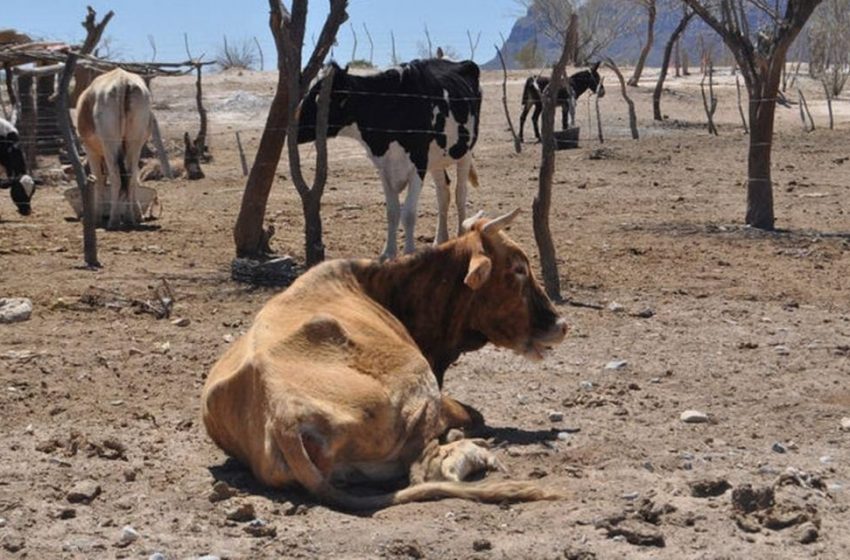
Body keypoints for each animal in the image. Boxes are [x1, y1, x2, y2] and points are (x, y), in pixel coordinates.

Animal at [75, 68, 152, 230]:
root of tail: (122, 80)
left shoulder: (91, 151)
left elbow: (99, 180)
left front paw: (97, 217)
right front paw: (138, 215)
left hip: (110, 146)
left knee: (116, 177)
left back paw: (114, 220)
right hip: (134, 144)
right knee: (129, 177)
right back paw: (129, 218)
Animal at [201, 208, 568, 510]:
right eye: (518, 269)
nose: (561, 324)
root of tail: (284, 416)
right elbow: (473, 414)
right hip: (418, 382)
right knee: (427, 470)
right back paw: (471, 450)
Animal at [296, 59, 484, 260]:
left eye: (319, 99)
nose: (294, 127)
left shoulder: (418, 165)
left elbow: (408, 213)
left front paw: (408, 253)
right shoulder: (384, 168)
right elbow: (392, 212)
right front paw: (388, 253)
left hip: (464, 152)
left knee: (460, 193)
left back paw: (460, 236)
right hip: (436, 160)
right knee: (443, 193)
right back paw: (440, 240)